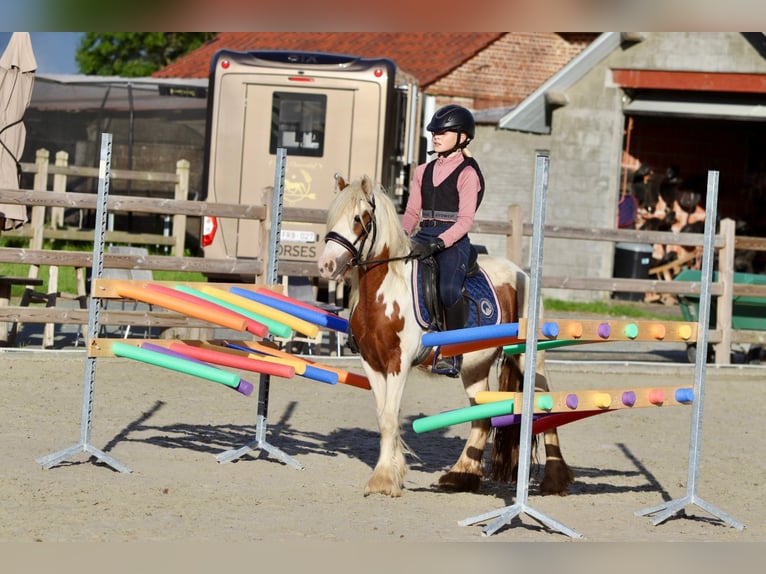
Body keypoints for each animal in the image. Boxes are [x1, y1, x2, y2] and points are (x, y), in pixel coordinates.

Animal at [316, 176, 572, 500]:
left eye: (360, 219)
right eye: (332, 216)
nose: (326, 266)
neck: (385, 291)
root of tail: (522, 274)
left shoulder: (398, 363)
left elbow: (389, 418)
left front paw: (384, 480)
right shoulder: (371, 363)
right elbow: (384, 415)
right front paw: (393, 471)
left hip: (530, 359)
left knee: (544, 406)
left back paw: (555, 480)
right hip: (474, 367)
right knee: (482, 418)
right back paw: (460, 476)